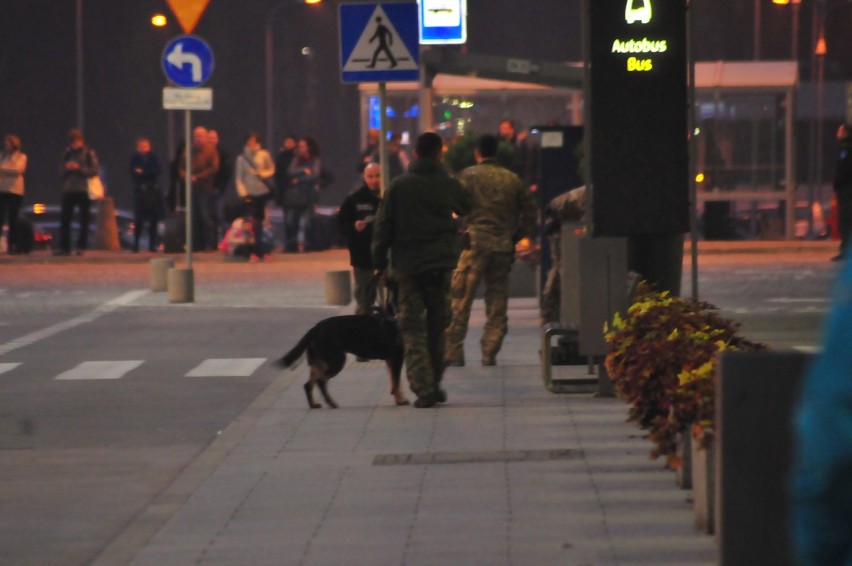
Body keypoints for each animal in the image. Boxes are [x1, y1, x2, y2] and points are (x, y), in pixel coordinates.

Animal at [276, 310, 410, 408]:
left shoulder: (391, 360)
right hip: (337, 361)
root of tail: (316, 328)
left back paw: (314, 405)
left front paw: (399, 399)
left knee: (308, 385)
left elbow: (395, 382)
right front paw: (400, 401)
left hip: (319, 362)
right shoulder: (397, 358)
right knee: (321, 381)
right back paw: (332, 403)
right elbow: (397, 383)